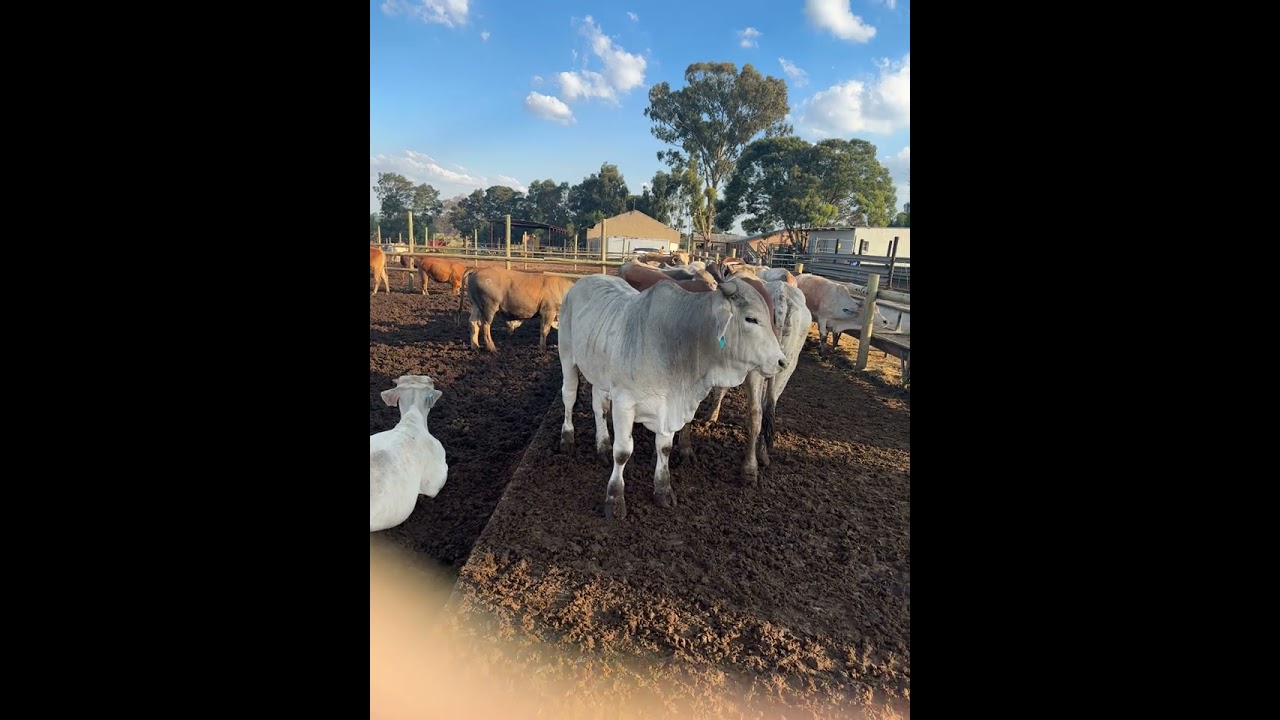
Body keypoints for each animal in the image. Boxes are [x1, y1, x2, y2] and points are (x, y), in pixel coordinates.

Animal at [557, 268, 788, 519]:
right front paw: (614, 499)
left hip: (600, 374)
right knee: (569, 396)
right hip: (567, 357)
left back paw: (602, 445)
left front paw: (663, 489)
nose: (782, 361)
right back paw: (567, 438)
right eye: (751, 319)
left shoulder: (668, 407)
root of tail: (583, 281)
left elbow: (665, 448)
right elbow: (623, 452)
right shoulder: (624, 403)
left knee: (598, 406)